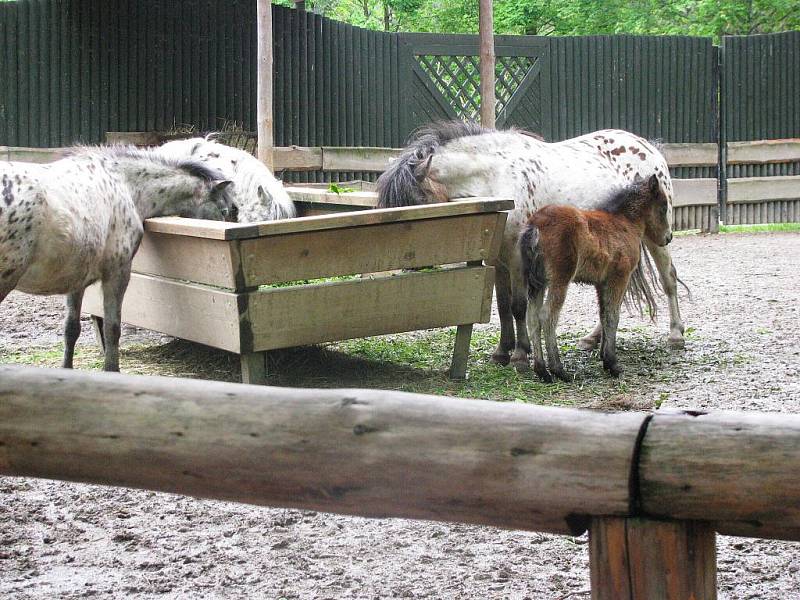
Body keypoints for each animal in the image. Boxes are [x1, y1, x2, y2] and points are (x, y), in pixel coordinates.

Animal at [0, 146, 234, 372]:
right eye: (223, 210)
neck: (125, 185)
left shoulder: (76, 279)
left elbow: (71, 328)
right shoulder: (117, 273)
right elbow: (112, 328)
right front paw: (112, 370)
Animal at [520, 173, 672, 380]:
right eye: (663, 206)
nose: (668, 238)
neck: (625, 222)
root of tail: (535, 225)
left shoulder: (602, 283)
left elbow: (603, 314)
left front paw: (604, 357)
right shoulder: (619, 277)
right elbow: (613, 316)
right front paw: (612, 364)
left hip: (537, 283)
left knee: (532, 318)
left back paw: (542, 371)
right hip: (560, 280)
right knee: (547, 316)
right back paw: (559, 370)